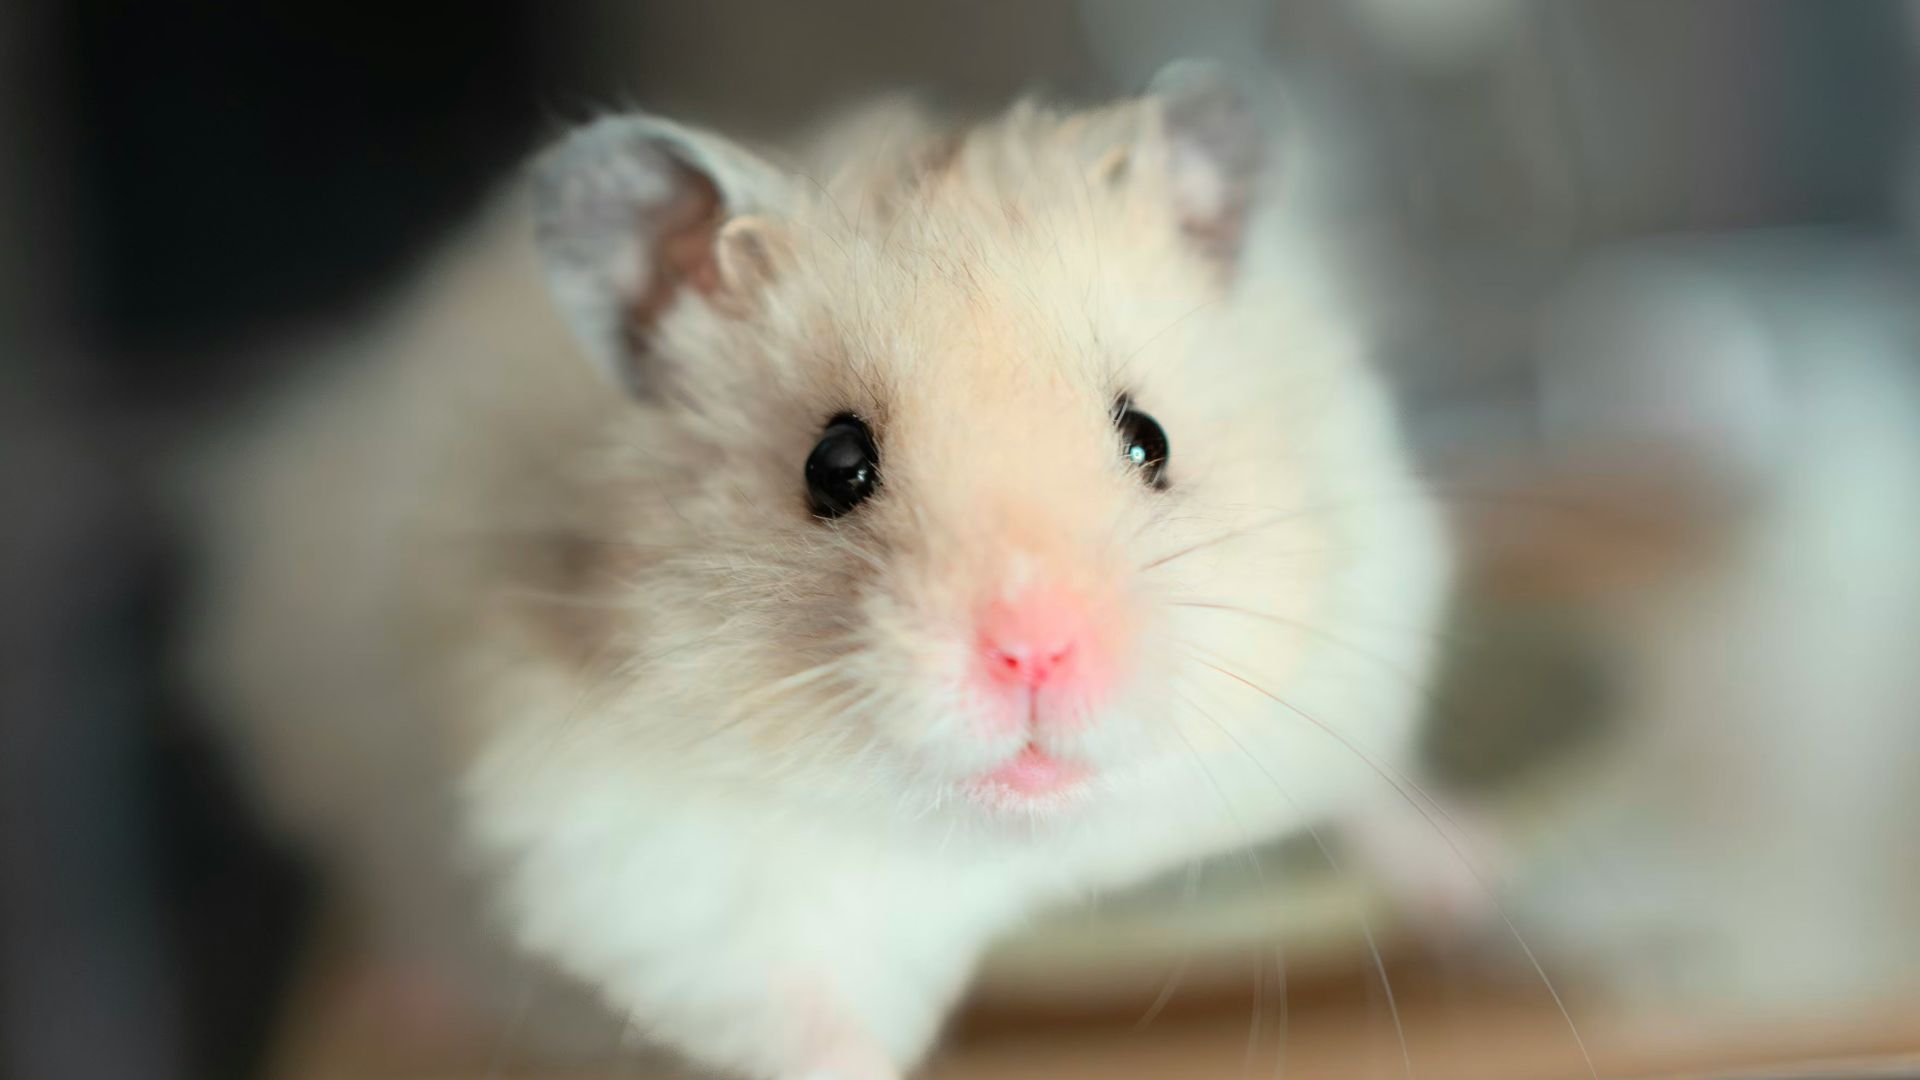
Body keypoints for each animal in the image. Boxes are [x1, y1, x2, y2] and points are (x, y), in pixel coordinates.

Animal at [187, 62, 1449, 1079]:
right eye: (834, 466)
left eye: (1151, 440)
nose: (1035, 651)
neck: (1012, 838)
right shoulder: (653, 876)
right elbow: (808, 1027)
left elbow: (1374, 792)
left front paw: (1468, 883)